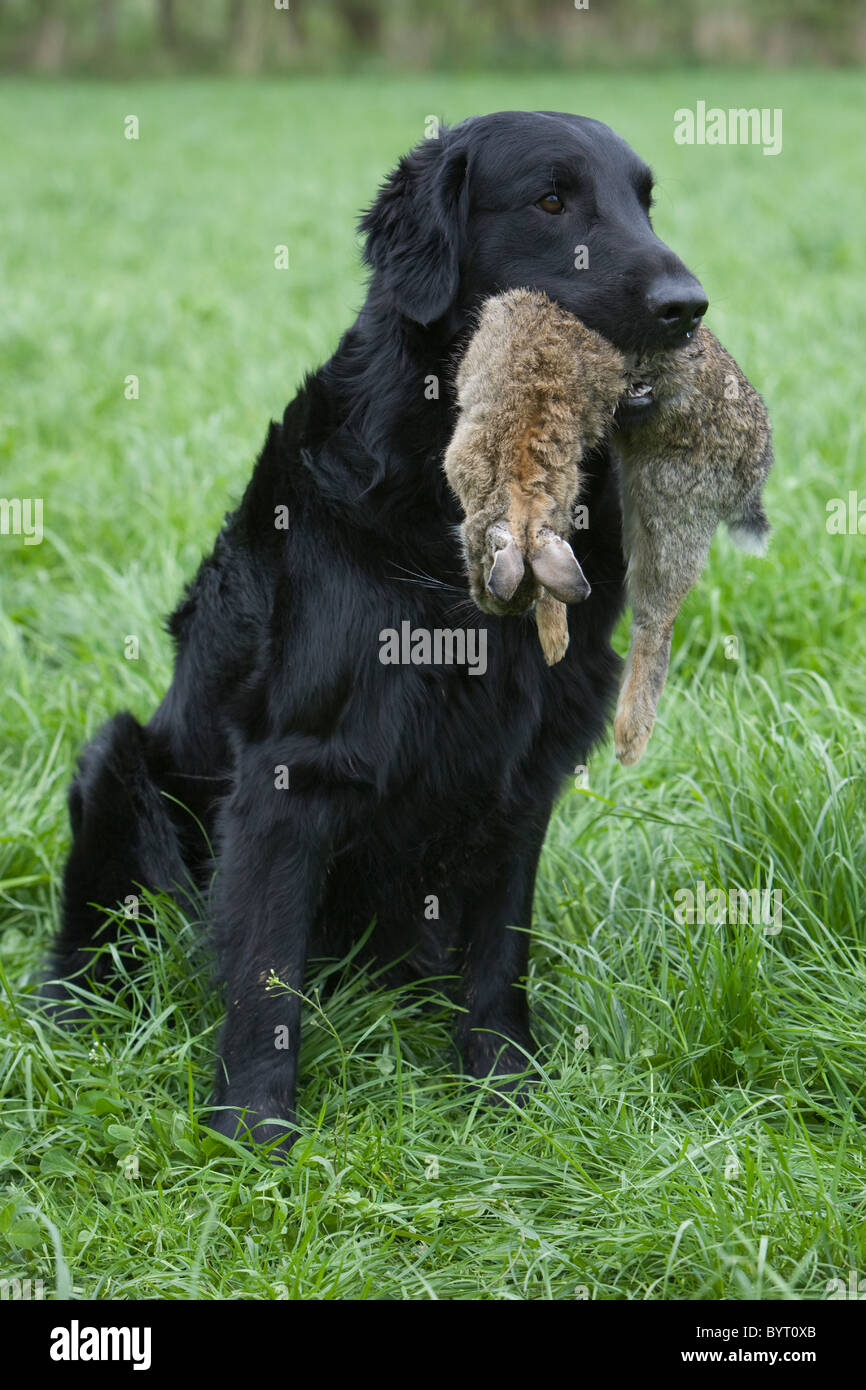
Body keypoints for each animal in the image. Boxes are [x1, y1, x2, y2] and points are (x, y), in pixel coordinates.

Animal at [47, 113, 708, 1145]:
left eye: (645, 201)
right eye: (551, 200)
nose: (690, 308)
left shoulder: (528, 767)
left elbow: (497, 958)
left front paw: (504, 1093)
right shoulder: (292, 771)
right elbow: (267, 975)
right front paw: (252, 1136)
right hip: (115, 758)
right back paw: (70, 1015)